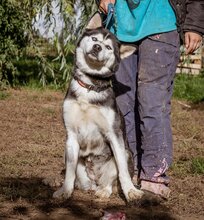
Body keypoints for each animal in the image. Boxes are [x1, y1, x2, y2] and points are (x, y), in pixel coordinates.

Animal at [53, 12, 144, 201]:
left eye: (108, 47)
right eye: (94, 38)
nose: (97, 47)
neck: (90, 85)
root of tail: (94, 181)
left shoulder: (114, 134)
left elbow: (123, 171)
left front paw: (130, 191)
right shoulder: (71, 136)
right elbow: (70, 172)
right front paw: (65, 191)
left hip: (126, 153)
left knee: (109, 181)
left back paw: (104, 191)